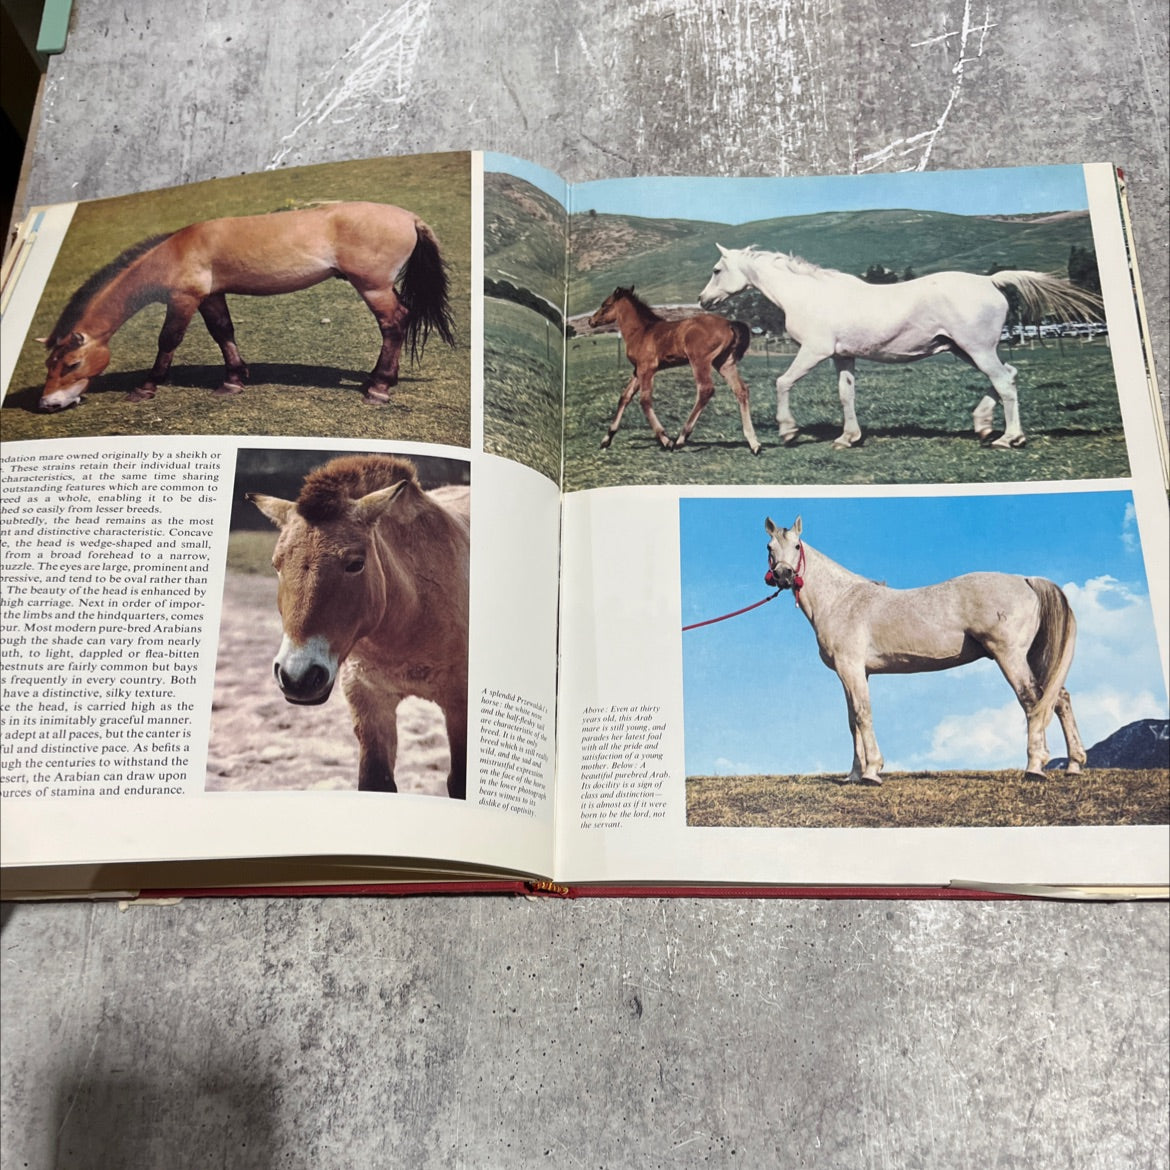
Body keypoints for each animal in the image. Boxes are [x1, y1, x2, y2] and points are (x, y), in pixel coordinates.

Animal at [39, 202, 455, 412]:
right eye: (49, 366)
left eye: (71, 364)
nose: (47, 403)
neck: (174, 252)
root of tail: (409, 217)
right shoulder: (210, 297)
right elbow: (223, 332)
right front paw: (234, 380)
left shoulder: (184, 300)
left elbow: (168, 340)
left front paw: (146, 386)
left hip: (373, 287)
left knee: (394, 324)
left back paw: (379, 387)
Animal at [248, 454, 470, 798]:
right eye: (277, 564)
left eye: (355, 563)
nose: (297, 677)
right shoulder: (367, 699)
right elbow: (376, 781)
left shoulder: (460, 705)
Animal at [588, 286, 762, 454]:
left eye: (605, 304)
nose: (591, 321)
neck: (641, 331)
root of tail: (729, 323)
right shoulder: (637, 371)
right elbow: (624, 397)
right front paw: (606, 439)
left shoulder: (647, 369)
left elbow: (644, 400)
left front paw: (665, 440)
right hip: (724, 363)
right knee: (741, 390)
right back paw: (754, 443)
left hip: (699, 361)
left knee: (705, 390)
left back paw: (680, 439)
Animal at [698, 245, 1103, 450]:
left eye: (717, 270)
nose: (702, 301)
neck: (810, 296)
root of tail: (990, 281)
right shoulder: (843, 356)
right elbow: (846, 395)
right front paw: (848, 438)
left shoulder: (815, 351)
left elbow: (782, 382)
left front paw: (788, 431)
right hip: (965, 349)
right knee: (1007, 376)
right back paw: (983, 426)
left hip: (977, 348)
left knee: (1004, 381)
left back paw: (1008, 438)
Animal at [763, 516, 1087, 783]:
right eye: (769, 547)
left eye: (796, 545)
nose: (783, 575)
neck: (842, 600)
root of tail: (1027, 580)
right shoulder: (853, 673)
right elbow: (852, 720)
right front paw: (853, 775)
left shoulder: (851, 668)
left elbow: (863, 714)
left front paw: (871, 772)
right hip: (1034, 658)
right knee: (1059, 699)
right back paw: (1074, 764)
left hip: (1011, 657)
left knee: (1032, 701)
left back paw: (1034, 768)